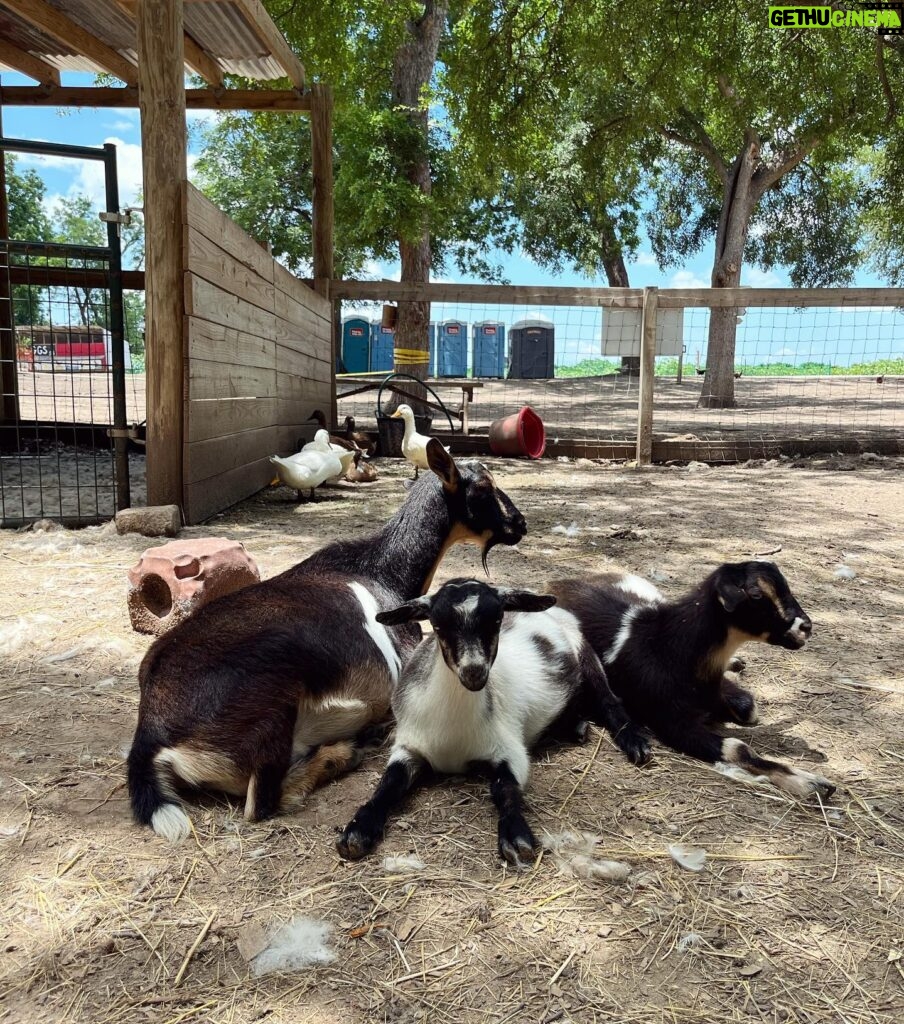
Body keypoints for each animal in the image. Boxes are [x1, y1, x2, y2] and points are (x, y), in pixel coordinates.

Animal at [123, 444, 528, 843]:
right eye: (483, 488)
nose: (519, 524)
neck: (383, 573)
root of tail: (150, 733)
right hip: (275, 696)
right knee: (261, 802)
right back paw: (346, 752)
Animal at [339, 577, 651, 864]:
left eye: (497, 619)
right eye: (437, 625)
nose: (474, 671)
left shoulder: (509, 749)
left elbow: (505, 789)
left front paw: (516, 836)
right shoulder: (408, 747)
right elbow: (388, 784)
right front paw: (358, 830)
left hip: (584, 651)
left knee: (608, 700)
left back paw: (635, 743)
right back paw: (576, 727)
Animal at [544, 561, 835, 798]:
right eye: (755, 594)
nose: (805, 628)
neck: (668, 648)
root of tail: (559, 582)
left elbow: (748, 709)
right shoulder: (671, 722)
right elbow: (737, 748)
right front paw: (810, 783)